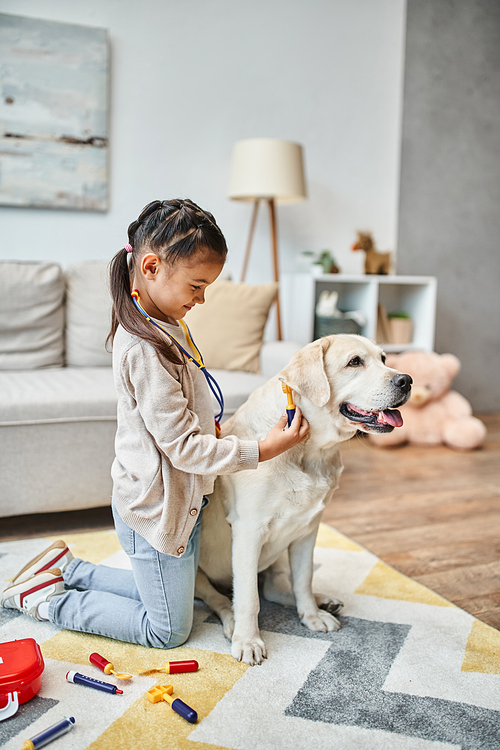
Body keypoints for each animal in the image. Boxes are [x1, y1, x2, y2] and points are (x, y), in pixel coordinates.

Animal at [194, 338, 410, 668]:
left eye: (384, 358)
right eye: (355, 362)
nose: (407, 380)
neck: (310, 451)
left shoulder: (308, 529)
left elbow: (304, 578)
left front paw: (312, 615)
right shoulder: (248, 531)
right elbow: (248, 598)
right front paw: (249, 640)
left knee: (275, 588)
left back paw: (324, 602)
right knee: (220, 597)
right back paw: (232, 622)